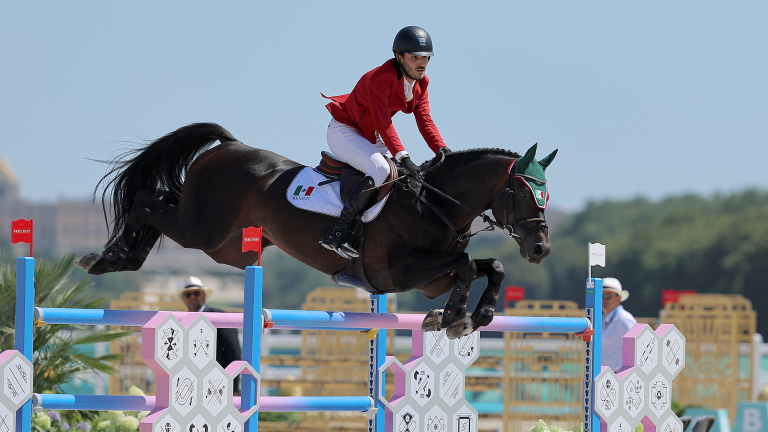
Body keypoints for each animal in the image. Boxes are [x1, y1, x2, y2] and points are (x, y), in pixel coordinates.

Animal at [75, 121, 560, 338]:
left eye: (547, 194)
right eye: (523, 193)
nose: (540, 249)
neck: (436, 203)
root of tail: (228, 144)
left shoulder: (427, 280)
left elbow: (488, 264)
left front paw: (474, 315)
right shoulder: (398, 272)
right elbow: (465, 263)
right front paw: (455, 316)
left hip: (228, 246)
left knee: (160, 204)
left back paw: (120, 256)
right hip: (203, 229)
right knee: (146, 200)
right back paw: (104, 258)